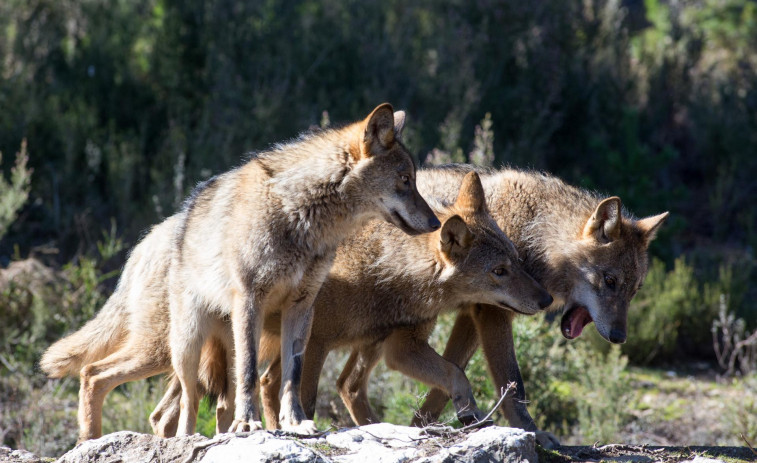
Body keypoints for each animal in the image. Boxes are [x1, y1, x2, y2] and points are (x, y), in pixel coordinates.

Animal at [41, 105, 440, 442]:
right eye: (405, 179)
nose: (437, 223)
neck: (301, 215)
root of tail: (146, 242)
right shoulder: (251, 299)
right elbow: (251, 373)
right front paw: (249, 424)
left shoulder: (302, 308)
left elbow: (292, 376)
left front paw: (295, 423)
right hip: (178, 347)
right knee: (114, 381)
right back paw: (106, 440)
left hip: (210, 348)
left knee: (199, 405)